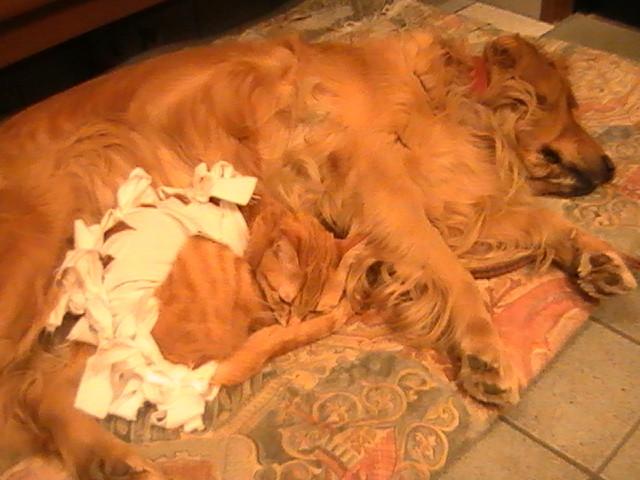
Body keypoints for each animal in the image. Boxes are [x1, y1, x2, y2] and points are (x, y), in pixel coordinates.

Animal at [0, 31, 636, 478]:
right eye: (571, 105)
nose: (612, 168)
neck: (448, 97)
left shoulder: (443, 189)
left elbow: (539, 220)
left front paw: (597, 256)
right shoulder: (382, 184)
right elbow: (450, 267)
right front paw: (483, 347)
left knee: (41, 391)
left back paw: (108, 459)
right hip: (34, 268)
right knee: (26, 391)